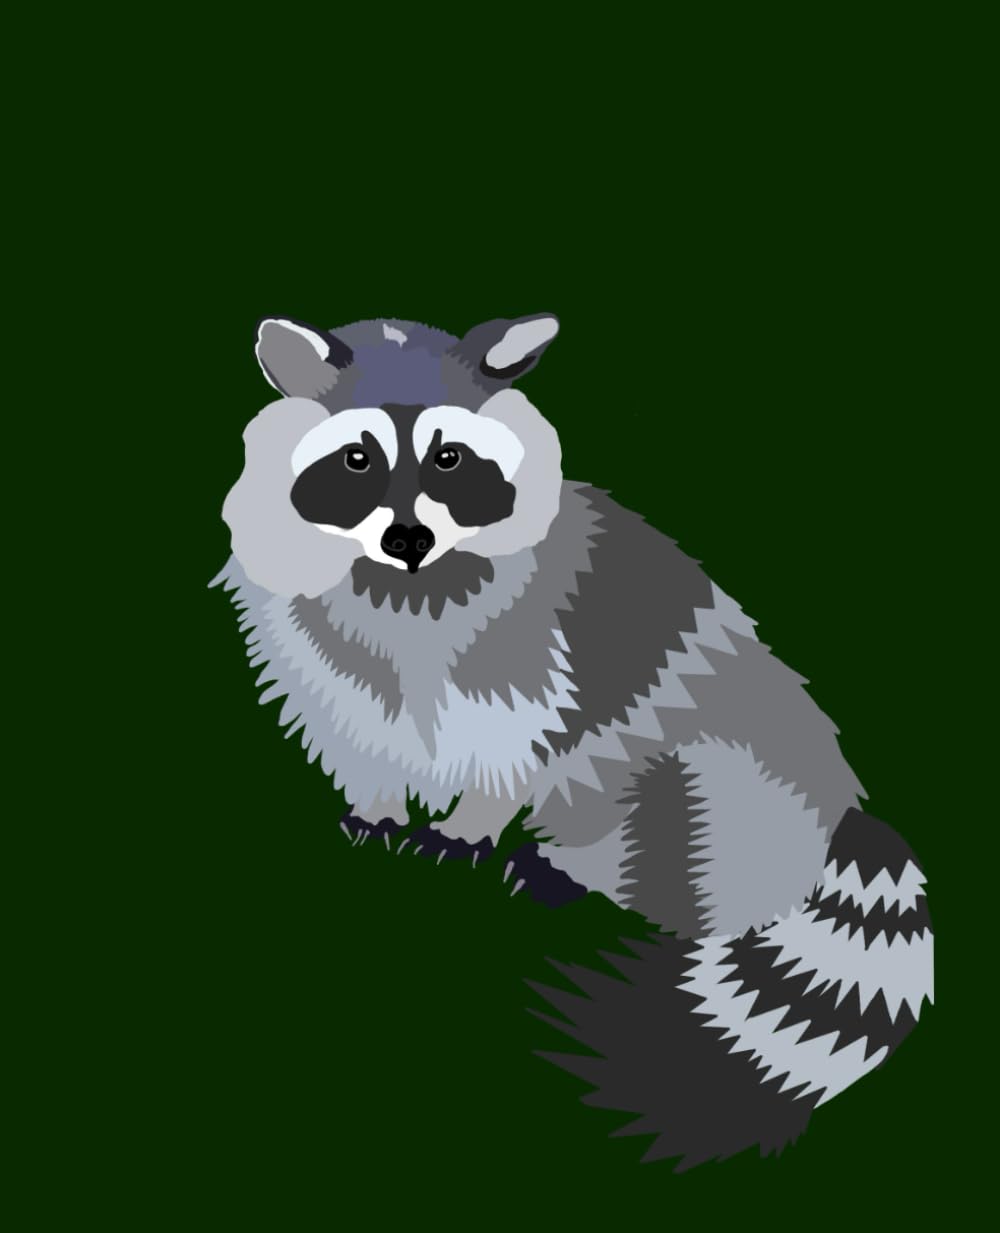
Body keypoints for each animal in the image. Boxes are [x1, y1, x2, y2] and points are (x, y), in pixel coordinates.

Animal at [212, 312, 933, 1169]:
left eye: (450, 458)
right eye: (357, 458)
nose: (409, 538)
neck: (401, 582)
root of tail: (836, 805)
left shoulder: (526, 641)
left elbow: (511, 740)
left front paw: (469, 824)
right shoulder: (313, 633)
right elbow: (360, 714)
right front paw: (379, 806)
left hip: (721, 775)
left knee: (661, 814)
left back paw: (577, 868)